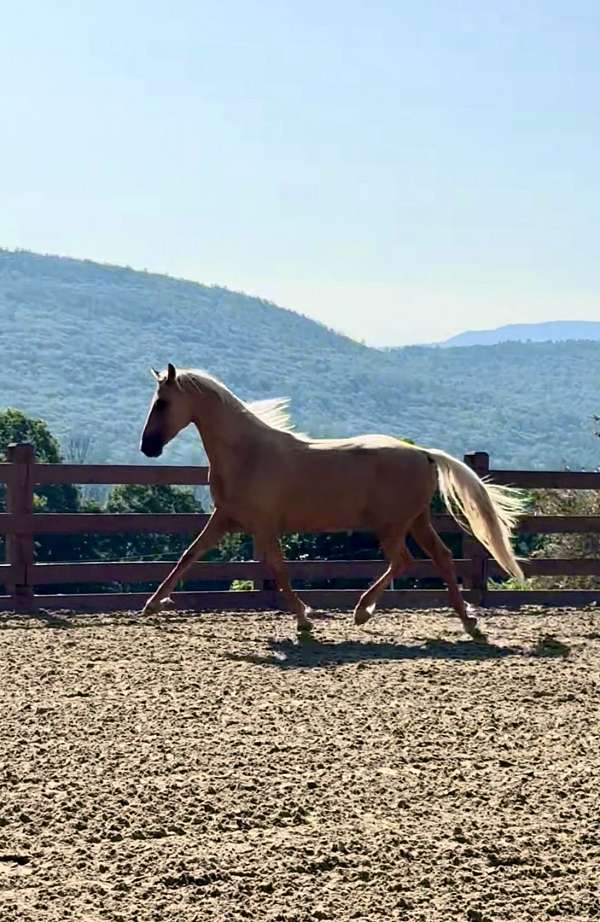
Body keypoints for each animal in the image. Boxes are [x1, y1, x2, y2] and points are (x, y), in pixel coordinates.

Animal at [139, 364, 524, 635]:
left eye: (162, 403)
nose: (147, 447)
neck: (248, 453)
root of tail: (425, 454)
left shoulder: (263, 526)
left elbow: (278, 569)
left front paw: (305, 618)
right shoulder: (224, 518)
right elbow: (188, 556)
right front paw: (152, 605)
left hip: (393, 526)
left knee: (404, 561)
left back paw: (363, 611)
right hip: (417, 521)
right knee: (441, 558)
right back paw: (468, 622)